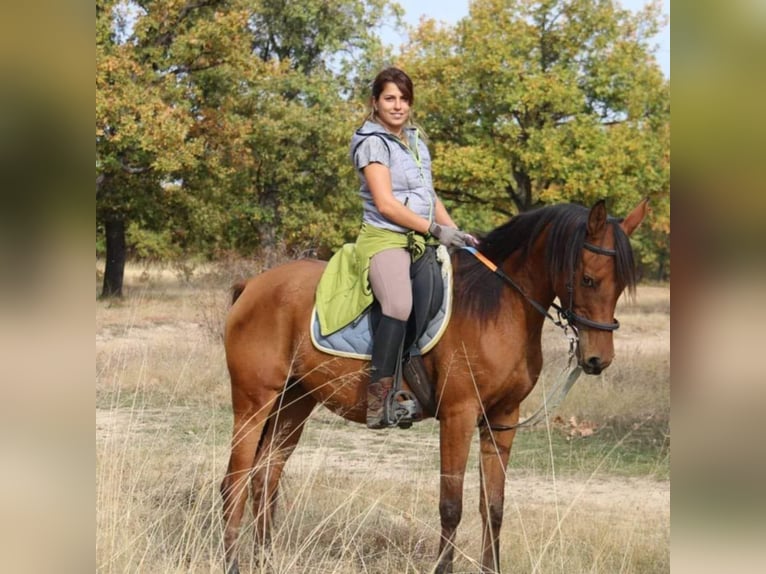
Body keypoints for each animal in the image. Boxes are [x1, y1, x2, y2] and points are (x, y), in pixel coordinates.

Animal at [220, 200, 648, 572]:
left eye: (621, 285)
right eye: (589, 279)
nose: (598, 360)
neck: (499, 308)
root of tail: (253, 285)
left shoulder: (502, 419)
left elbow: (493, 506)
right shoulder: (459, 416)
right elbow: (451, 506)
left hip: (295, 402)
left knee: (265, 479)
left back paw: (265, 561)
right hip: (254, 403)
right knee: (234, 483)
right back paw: (234, 563)